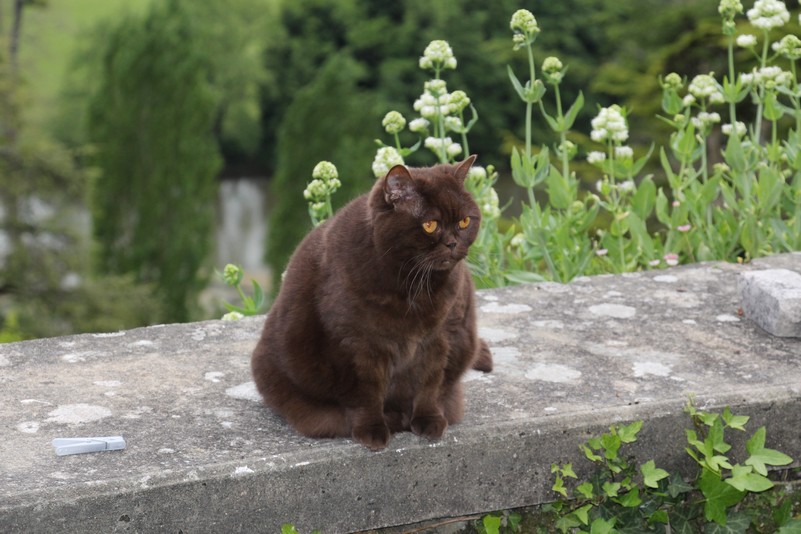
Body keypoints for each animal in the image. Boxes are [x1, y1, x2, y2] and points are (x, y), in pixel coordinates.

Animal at [250, 156, 490, 452]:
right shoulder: (356, 343)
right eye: (430, 225)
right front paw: (372, 431)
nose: (453, 242)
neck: (412, 286)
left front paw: (429, 421)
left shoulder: (439, 337)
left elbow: (429, 382)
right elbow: (366, 391)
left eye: (465, 221)